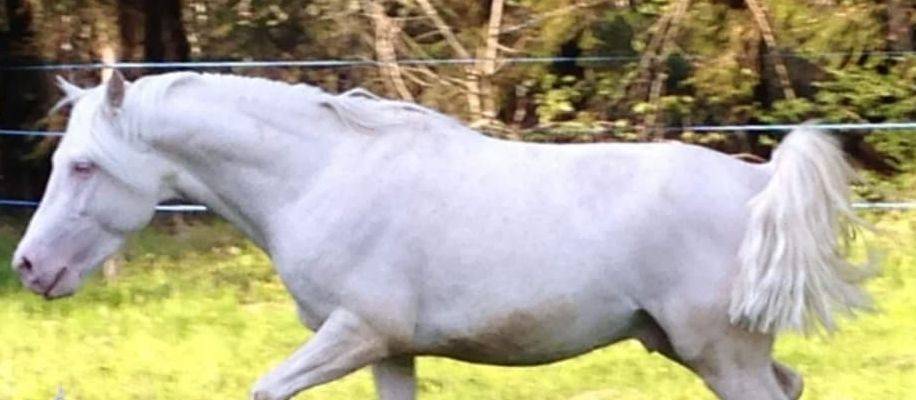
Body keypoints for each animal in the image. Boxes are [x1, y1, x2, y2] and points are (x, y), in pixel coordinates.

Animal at [11, 71, 872, 400]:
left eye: (82, 165)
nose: (28, 266)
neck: (320, 176)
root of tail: (757, 184)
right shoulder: (390, 351)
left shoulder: (355, 332)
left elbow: (265, 389)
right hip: (691, 347)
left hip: (719, 355)